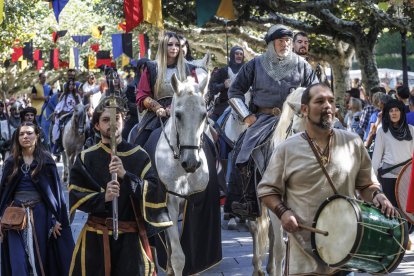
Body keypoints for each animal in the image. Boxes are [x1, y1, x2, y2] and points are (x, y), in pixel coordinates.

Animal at [155, 73, 210, 274]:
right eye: (178, 115)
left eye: (204, 115)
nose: (191, 163)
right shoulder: (168, 203)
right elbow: (178, 256)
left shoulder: (197, 203)